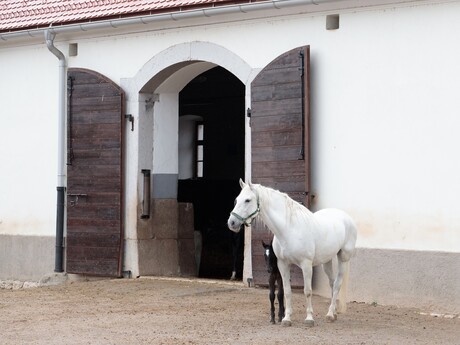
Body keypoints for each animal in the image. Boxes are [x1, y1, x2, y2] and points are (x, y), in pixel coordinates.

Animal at [228, 179, 358, 326]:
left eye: (248, 200)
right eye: (236, 200)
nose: (232, 223)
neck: (289, 228)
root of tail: (346, 217)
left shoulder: (306, 265)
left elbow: (307, 291)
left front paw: (309, 318)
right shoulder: (283, 264)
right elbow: (287, 291)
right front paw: (286, 319)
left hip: (343, 258)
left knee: (337, 284)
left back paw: (330, 315)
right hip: (327, 260)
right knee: (332, 282)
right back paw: (333, 313)